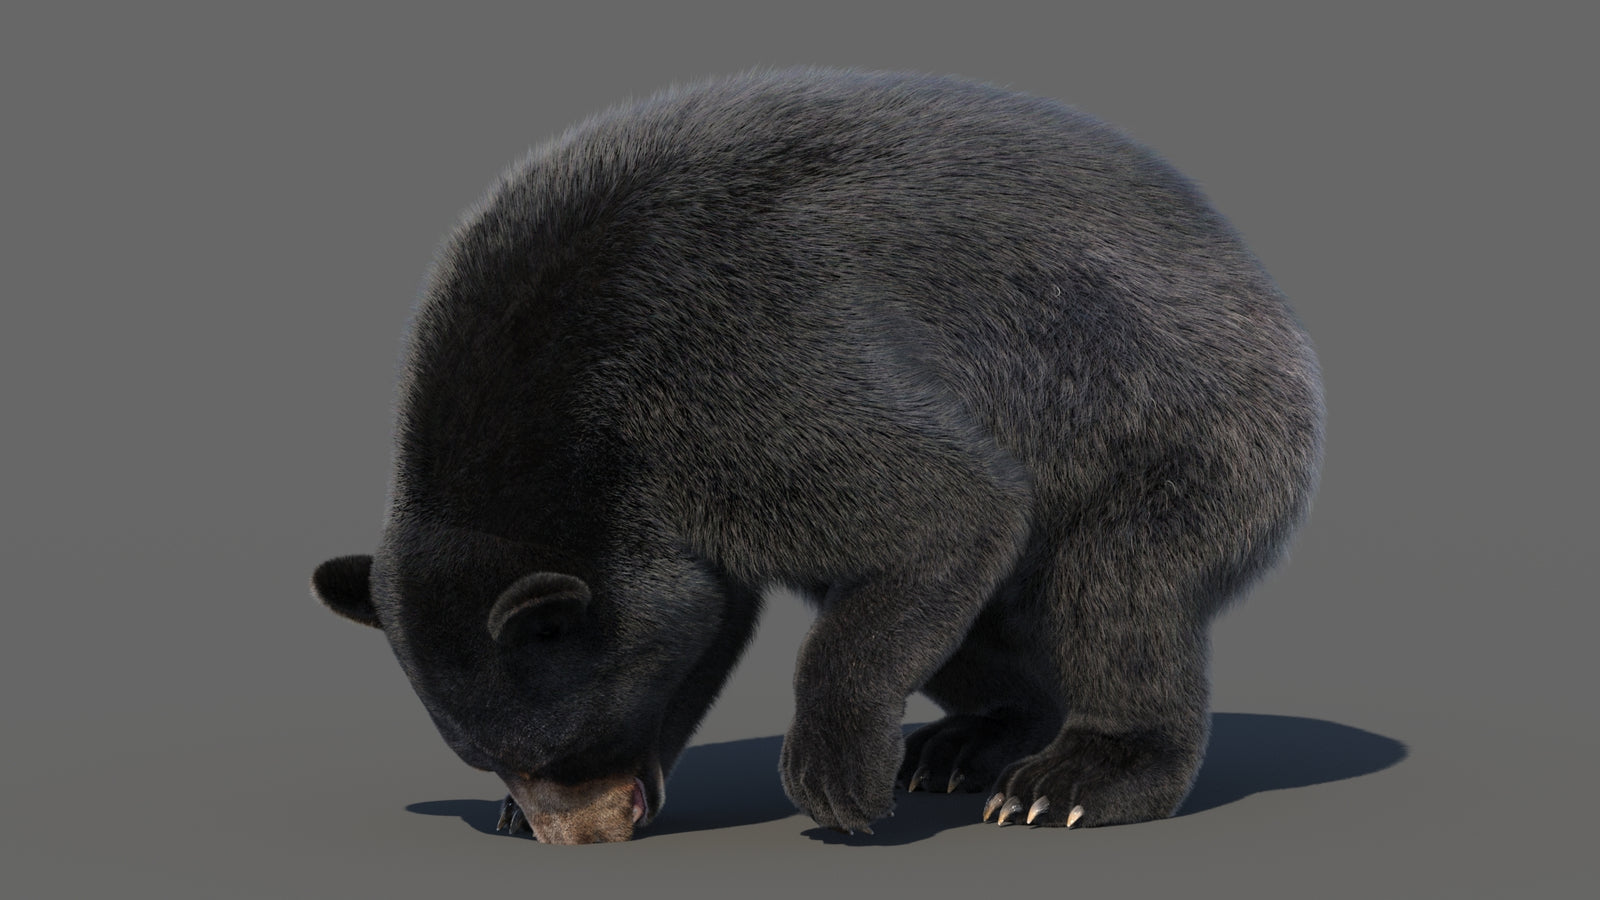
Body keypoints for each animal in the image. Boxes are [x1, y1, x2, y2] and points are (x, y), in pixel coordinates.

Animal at [311, 67, 1323, 844]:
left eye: (560, 745)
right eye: (490, 755)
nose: (584, 834)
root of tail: (1258, 280)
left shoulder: (734, 375)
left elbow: (950, 506)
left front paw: (835, 776)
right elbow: (720, 610)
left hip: (1178, 422)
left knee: (1122, 591)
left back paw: (1069, 780)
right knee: (980, 623)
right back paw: (968, 740)